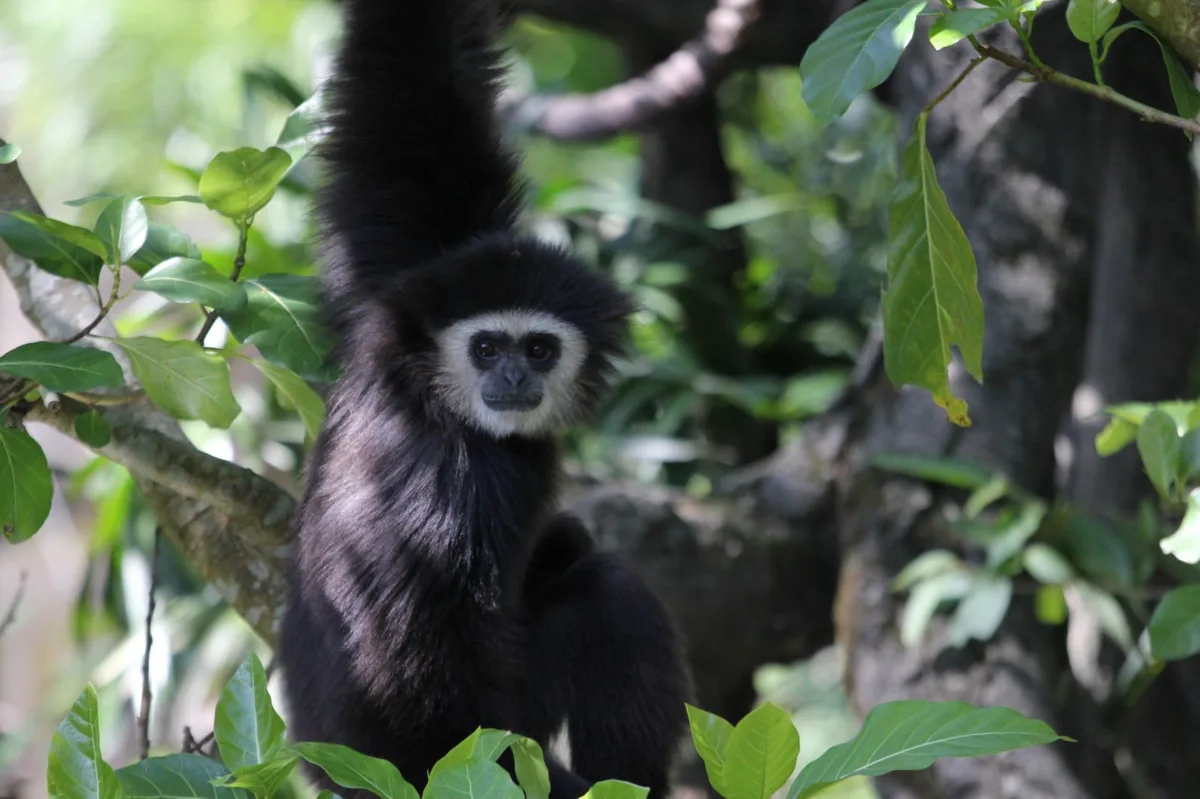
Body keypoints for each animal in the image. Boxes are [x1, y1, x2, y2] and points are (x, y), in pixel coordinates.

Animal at [275, 1, 693, 798]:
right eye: (488, 348)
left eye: (539, 349)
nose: (514, 380)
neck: (426, 393)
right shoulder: (462, 482)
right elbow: (424, 700)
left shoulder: (402, 286)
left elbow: (411, 92)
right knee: (609, 589)